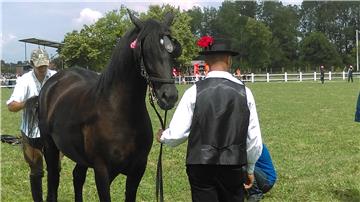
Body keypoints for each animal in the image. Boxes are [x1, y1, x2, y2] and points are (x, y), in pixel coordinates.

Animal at [34, 10, 180, 202]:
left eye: (172, 50)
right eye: (146, 50)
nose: (169, 96)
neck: (118, 112)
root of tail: (52, 81)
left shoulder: (137, 170)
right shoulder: (102, 171)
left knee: (77, 177)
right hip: (50, 147)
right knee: (53, 180)